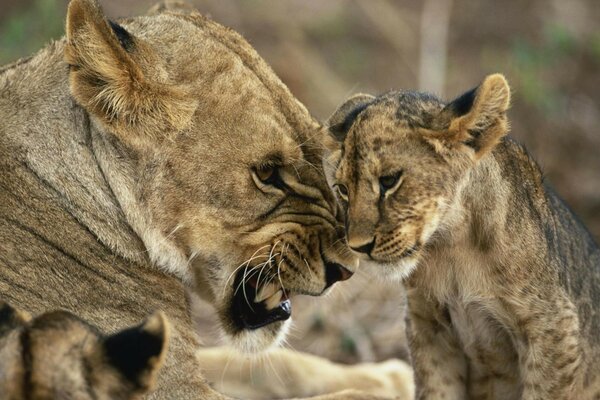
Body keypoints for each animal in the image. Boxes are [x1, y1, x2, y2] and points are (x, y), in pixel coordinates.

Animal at [324, 73, 600, 399]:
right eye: (343, 189)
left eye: (389, 181)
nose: (359, 247)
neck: (452, 246)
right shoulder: (428, 326)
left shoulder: (553, 327)